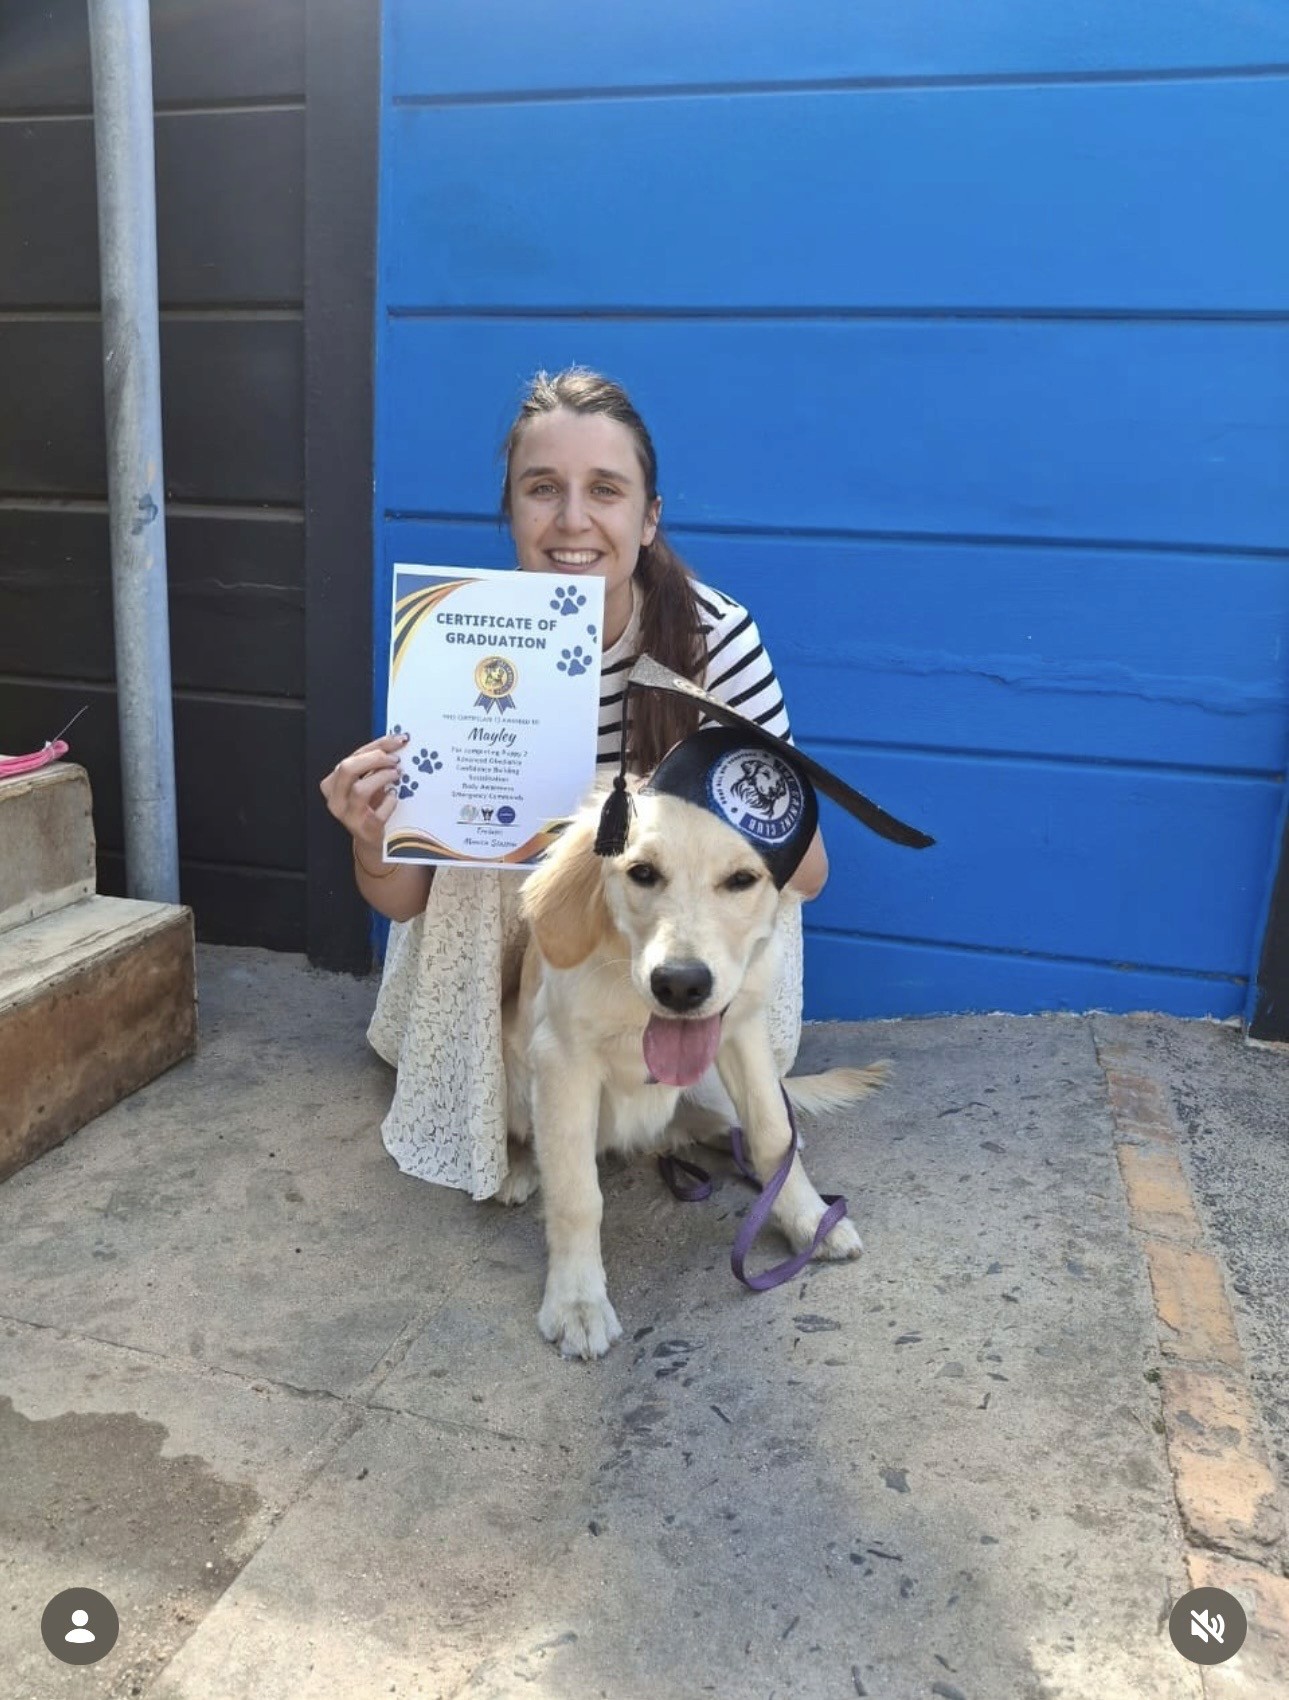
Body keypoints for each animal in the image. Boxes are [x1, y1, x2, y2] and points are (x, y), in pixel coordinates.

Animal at [500, 783, 887, 1359]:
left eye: (742, 879)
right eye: (642, 873)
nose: (680, 985)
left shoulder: (741, 1033)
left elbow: (773, 1131)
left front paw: (809, 1218)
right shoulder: (561, 1059)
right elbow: (576, 1195)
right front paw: (577, 1301)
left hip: (707, 1084)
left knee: (720, 1126)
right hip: (513, 1068)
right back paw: (520, 1168)